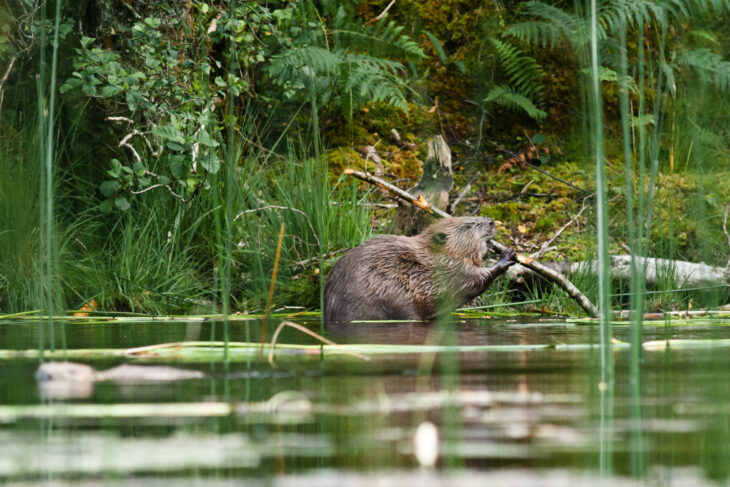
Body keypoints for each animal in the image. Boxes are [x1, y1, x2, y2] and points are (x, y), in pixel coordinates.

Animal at [322, 217, 516, 324]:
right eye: (469, 225)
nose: (491, 221)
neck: (436, 253)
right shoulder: (452, 268)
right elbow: (475, 280)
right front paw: (507, 256)